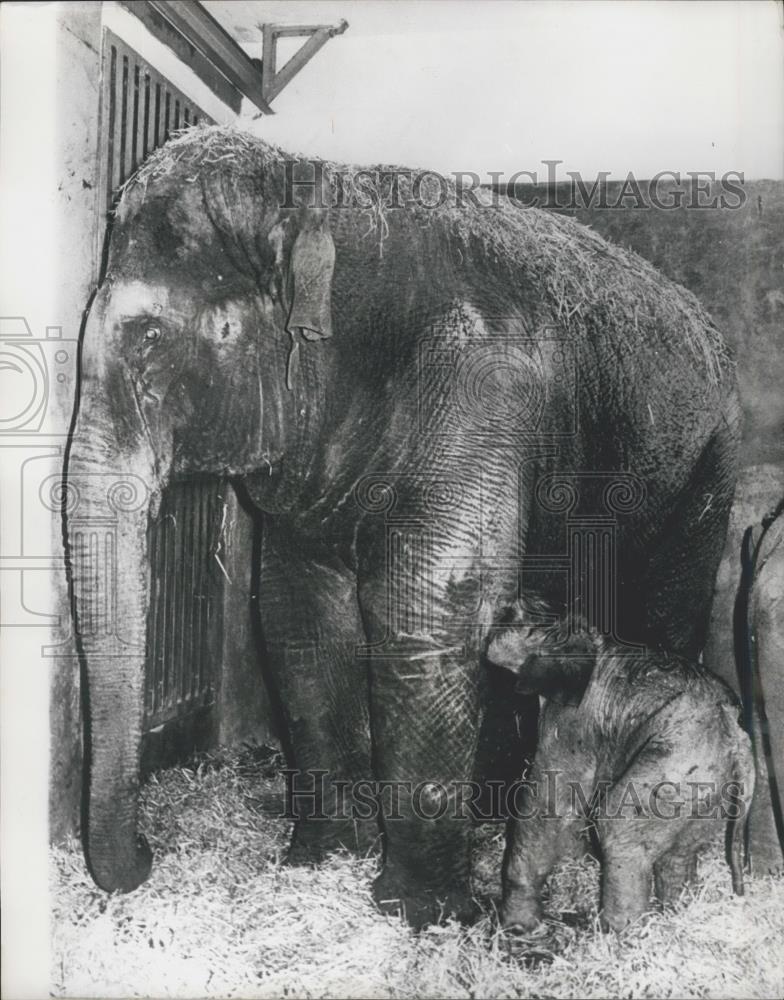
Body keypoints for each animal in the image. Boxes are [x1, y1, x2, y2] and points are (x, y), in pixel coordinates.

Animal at [486, 604, 754, 933]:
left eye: (521, 619)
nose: (503, 612)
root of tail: (735, 734)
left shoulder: (572, 719)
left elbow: (551, 803)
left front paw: (515, 927)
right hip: (714, 787)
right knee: (679, 852)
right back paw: (675, 914)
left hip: (675, 766)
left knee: (618, 828)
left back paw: (616, 933)